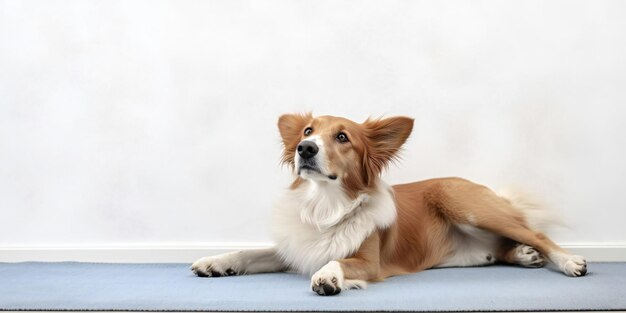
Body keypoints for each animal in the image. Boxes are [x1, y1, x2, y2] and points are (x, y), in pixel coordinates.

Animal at [191, 112, 584, 294]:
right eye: (307, 131)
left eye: (342, 137)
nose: (305, 148)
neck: (324, 206)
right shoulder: (298, 247)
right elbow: (251, 252)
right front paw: (216, 262)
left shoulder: (370, 262)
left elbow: (338, 260)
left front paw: (327, 276)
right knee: (503, 248)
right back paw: (523, 255)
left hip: (465, 202)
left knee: (538, 235)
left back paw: (569, 261)